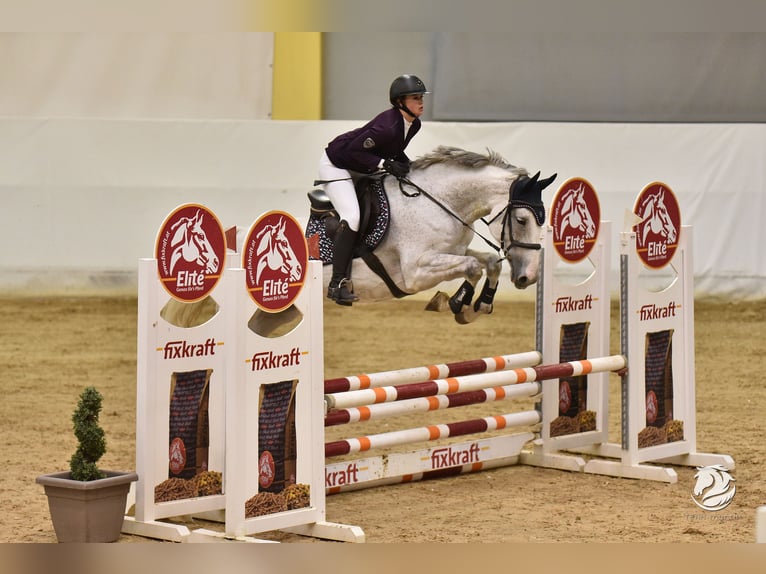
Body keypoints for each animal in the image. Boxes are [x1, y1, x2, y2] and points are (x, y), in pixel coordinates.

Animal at [308, 146, 560, 326]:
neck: (441, 202)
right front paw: (456, 302)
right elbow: (472, 266)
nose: (529, 277)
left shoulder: (453, 251)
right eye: (522, 220)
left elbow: (490, 262)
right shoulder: (415, 273)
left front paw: (477, 307)